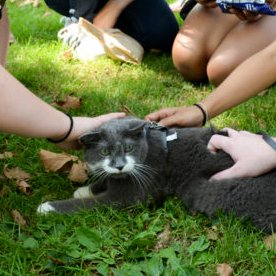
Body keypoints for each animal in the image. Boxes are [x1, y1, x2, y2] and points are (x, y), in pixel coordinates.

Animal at [37, 116, 276, 233]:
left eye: (128, 148)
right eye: (104, 152)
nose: (119, 166)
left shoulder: (132, 194)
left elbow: (92, 204)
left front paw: (48, 208)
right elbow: (104, 179)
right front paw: (85, 189)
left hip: (215, 190)